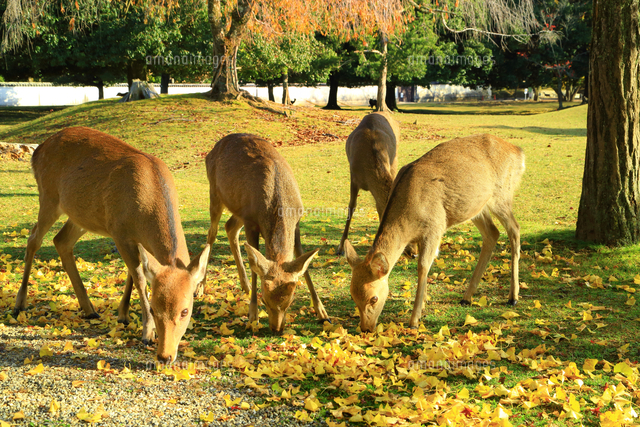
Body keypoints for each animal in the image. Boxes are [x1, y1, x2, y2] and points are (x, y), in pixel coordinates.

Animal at [14, 127, 210, 364]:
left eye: (185, 311)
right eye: (154, 309)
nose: (165, 356)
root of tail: (37, 151)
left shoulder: (135, 240)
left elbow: (133, 274)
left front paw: (123, 314)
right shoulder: (119, 230)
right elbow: (139, 277)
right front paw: (147, 332)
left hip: (83, 215)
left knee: (60, 240)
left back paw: (89, 308)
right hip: (49, 196)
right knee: (34, 238)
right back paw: (20, 303)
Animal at [205, 133, 329, 333]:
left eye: (290, 301)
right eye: (264, 299)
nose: (276, 329)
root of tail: (212, 150)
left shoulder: (297, 222)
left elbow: (304, 262)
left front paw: (322, 312)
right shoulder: (251, 222)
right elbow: (254, 265)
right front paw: (252, 317)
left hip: (238, 210)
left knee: (230, 227)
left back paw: (245, 285)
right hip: (215, 194)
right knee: (212, 232)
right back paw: (200, 287)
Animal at [337, 111, 417, 257]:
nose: (414, 254)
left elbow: (379, 208)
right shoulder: (353, 177)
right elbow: (351, 207)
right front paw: (340, 247)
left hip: (395, 159)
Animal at [343, 134, 525, 332]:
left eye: (374, 298)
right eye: (352, 295)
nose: (366, 328)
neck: (410, 218)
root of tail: (519, 152)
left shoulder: (435, 227)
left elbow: (423, 266)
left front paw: (414, 321)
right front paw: (422, 306)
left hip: (501, 195)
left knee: (515, 229)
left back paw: (513, 297)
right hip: (475, 207)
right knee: (492, 233)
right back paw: (466, 297)